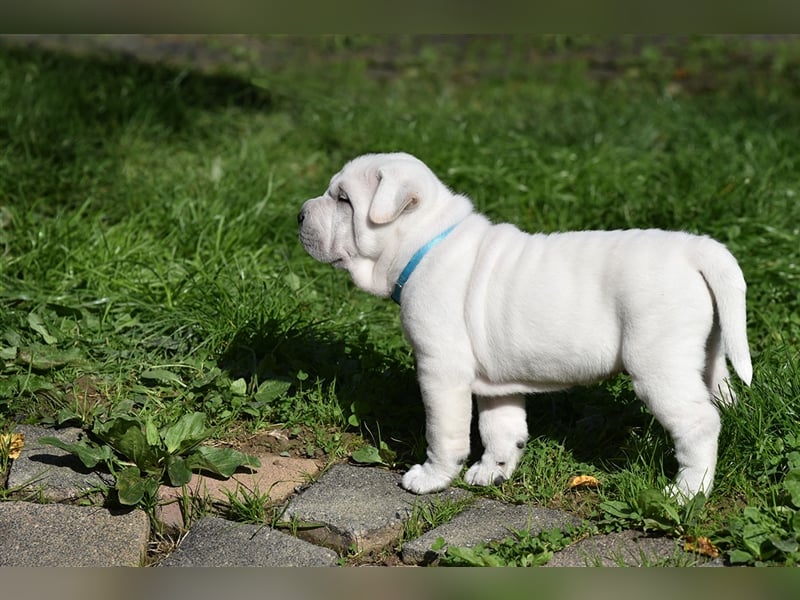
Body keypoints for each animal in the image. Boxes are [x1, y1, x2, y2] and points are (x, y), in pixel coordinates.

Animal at [298, 152, 752, 500]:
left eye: (343, 199)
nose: (299, 214)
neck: (426, 243)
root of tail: (694, 249)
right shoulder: (496, 383)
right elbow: (501, 427)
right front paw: (492, 471)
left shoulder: (440, 370)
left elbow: (444, 432)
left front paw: (432, 478)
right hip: (706, 354)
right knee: (720, 396)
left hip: (657, 366)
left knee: (700, 423)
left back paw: (688, 492)